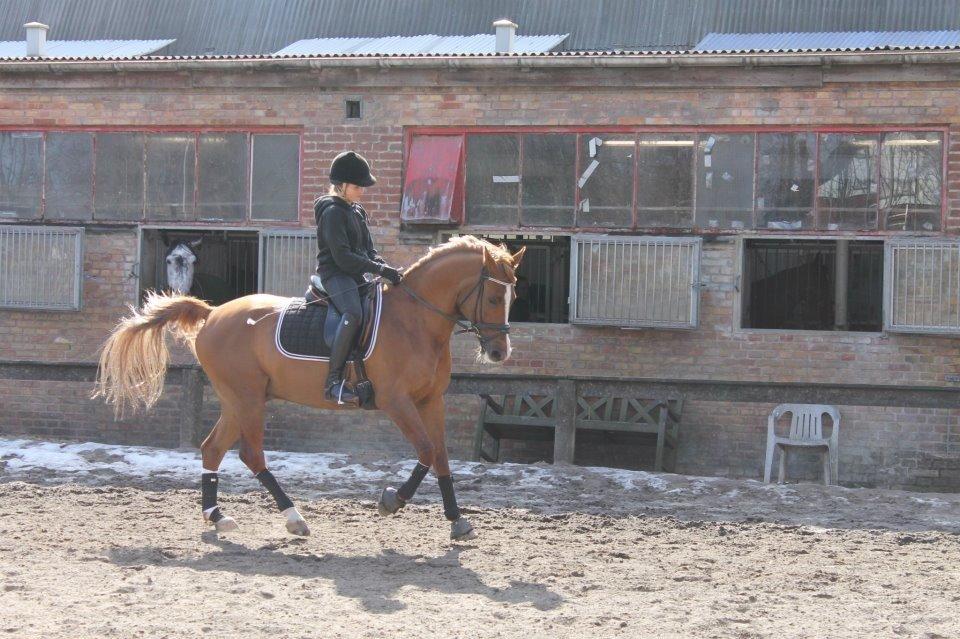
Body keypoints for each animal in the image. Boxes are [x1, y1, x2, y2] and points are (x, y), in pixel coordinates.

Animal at [94, 236, 526, 541]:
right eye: (492, 296)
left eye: (514, 296)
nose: (500, 352)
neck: (415, 321)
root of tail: (213, 312)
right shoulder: (397, 402)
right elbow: (425, 451)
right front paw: (392, 501)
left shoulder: (430, 401)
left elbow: (441, 458)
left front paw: (457, 520)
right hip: (247, 399)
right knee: (251, 454)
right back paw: (294, 518)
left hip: (238, 400)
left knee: (213, 449)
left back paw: (217, 517)